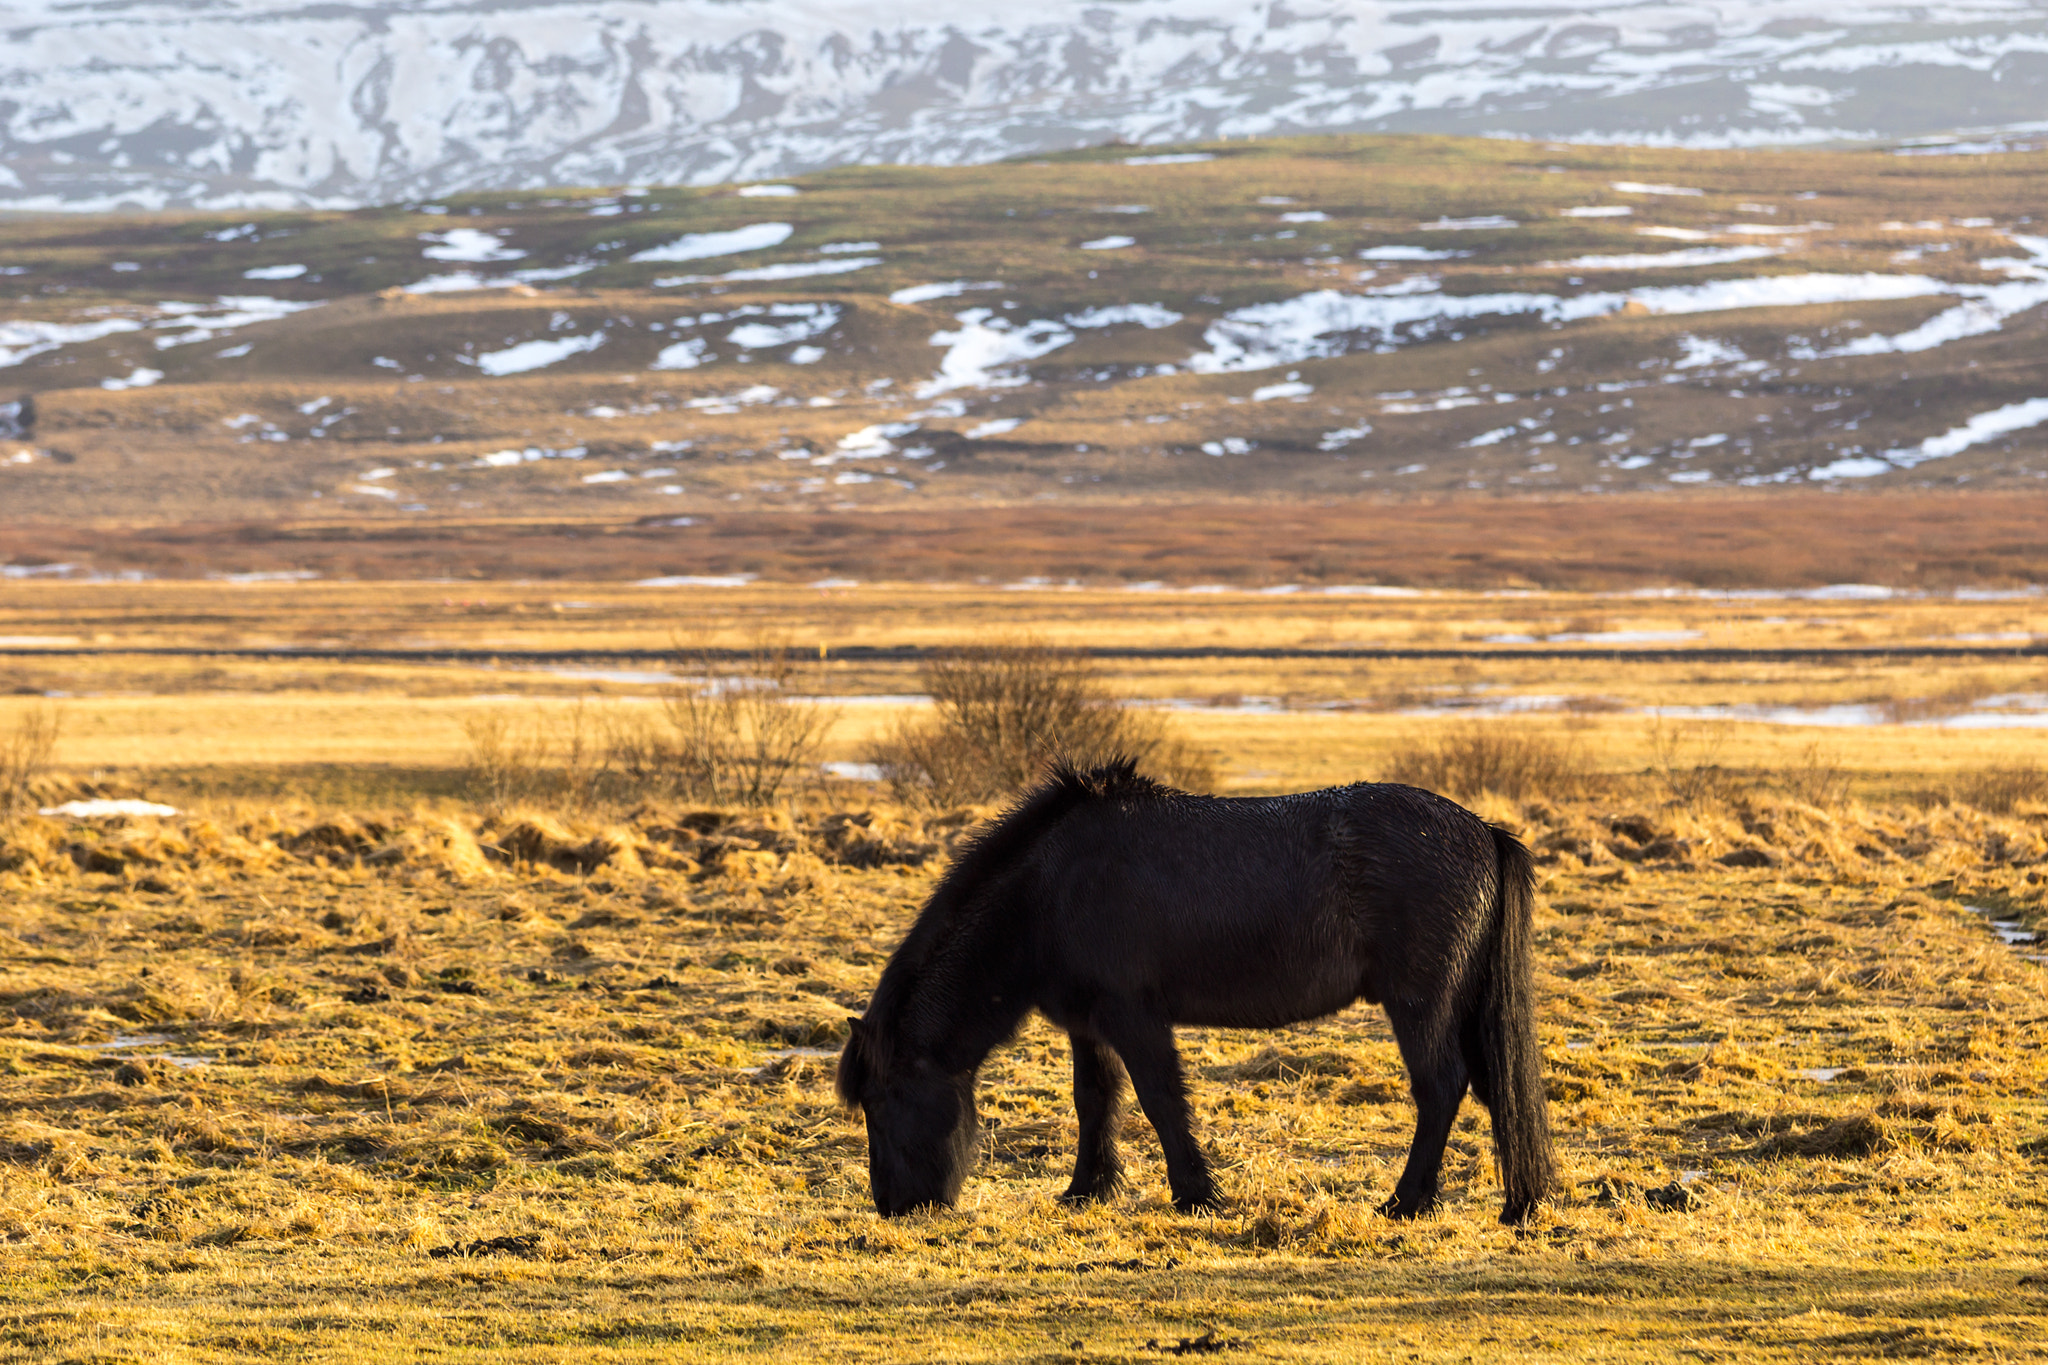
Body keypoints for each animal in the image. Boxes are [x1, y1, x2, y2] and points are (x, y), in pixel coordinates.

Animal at [831, 757, 1548, 1227]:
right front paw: (1086, 1190)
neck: (1049, 890)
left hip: (1420, 1004)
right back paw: (1512, 1202)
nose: (893, 1204)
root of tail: (1485, 832)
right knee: (1488, 1088)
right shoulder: (1087, 1023)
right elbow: (1095, 1099)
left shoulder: (1135, 1016)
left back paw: (1405, 1202)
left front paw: (1195, 1194)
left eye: (883, 1099)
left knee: (1440, 1088)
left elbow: (1160, 1100)